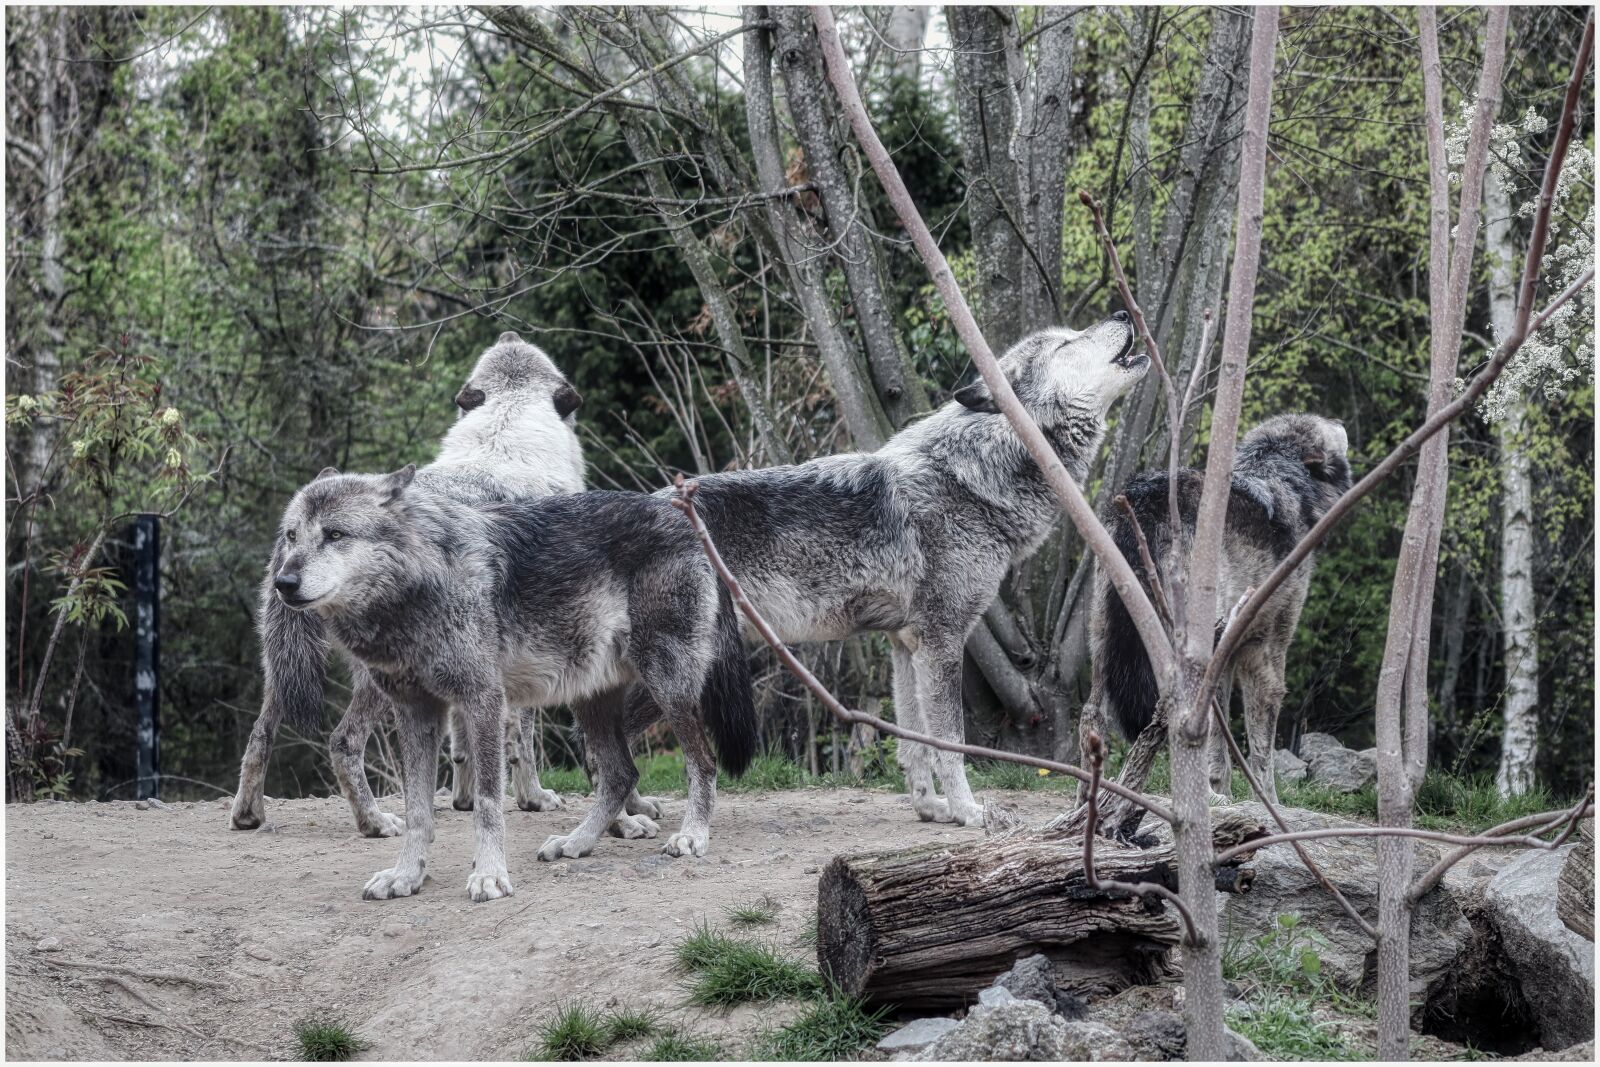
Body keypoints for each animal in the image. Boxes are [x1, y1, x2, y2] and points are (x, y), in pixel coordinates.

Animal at [228, 332, 594, 837]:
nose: (508, 333)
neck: (506, 441)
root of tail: (292, 531)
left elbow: (464, 742)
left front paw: (466, 799)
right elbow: (522, 738)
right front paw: (533, 799)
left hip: (284, 669)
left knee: (259, 735)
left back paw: (248, 814)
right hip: (377, 681)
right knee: (342, 741)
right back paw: (375, 823)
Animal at [266, 468, 756, 901]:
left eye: (334, 535)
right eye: (291, 536)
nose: (283, 582)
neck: (419, 589)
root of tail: (688, 524)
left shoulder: (483, 700)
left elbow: (486, 803)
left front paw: (489, 876)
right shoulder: (417, 713)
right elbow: (419, 811)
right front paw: (406, 877)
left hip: (667, 685)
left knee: (703, 761)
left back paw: (692, 836)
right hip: (591, 700)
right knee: (621, 774)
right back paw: (576, 843)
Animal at [626, 314, 1148, 827]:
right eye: (1065, 344)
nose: (1124, 313)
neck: (969, 475)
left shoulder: (904, 644)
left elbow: (915, 742)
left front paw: (930, 808)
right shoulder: (940, 643)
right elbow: (951, 744)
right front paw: (968, 811)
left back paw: (629, 816)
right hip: (684, 670)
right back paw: (626, 822)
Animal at [1091, 413, 1352, 803]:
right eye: (1323, 424)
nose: (1338, 419)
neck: (1282, 479)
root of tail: (1145, 499)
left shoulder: (1226, 653)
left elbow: (1219, 741)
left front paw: (1223, 792)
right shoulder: (1265, 650)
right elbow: (1260, 753)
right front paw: (1267, 803)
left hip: (1104, 652)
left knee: (1091, 721)